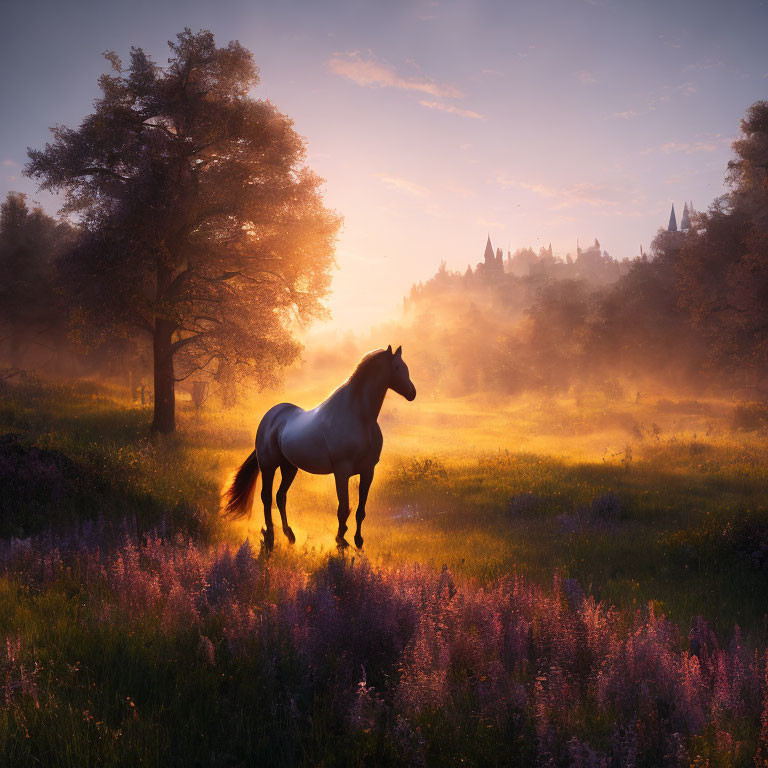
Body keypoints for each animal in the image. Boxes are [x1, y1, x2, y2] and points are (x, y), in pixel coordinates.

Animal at [222, 344, 414, 548]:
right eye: (396, 368)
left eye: (405, 367)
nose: (412, 393)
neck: (359, 418)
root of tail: (270, 417)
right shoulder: (342, 472)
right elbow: (343, 508)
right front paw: (341, 541)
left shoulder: (368, 471)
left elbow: (360, 510)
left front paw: (358, 540)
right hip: (268, 466)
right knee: (266, 497)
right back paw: (270, 535)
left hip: (289, 467)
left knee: (281, 496)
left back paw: (289, 534)